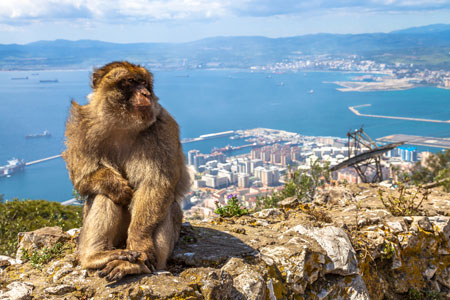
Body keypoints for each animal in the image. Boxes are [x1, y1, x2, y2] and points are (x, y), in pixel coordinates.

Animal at [62, 61, 189, 282]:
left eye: (144, 83)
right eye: (130, 82)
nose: (146, 93)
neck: (123, 125)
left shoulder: (163, 126)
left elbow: (155, 185)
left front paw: (140, 241)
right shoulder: (81, 125)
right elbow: (81, 176)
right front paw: (115, 186)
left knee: (165, 206)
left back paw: (136, 264)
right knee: (103, 195)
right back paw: (95, 256)